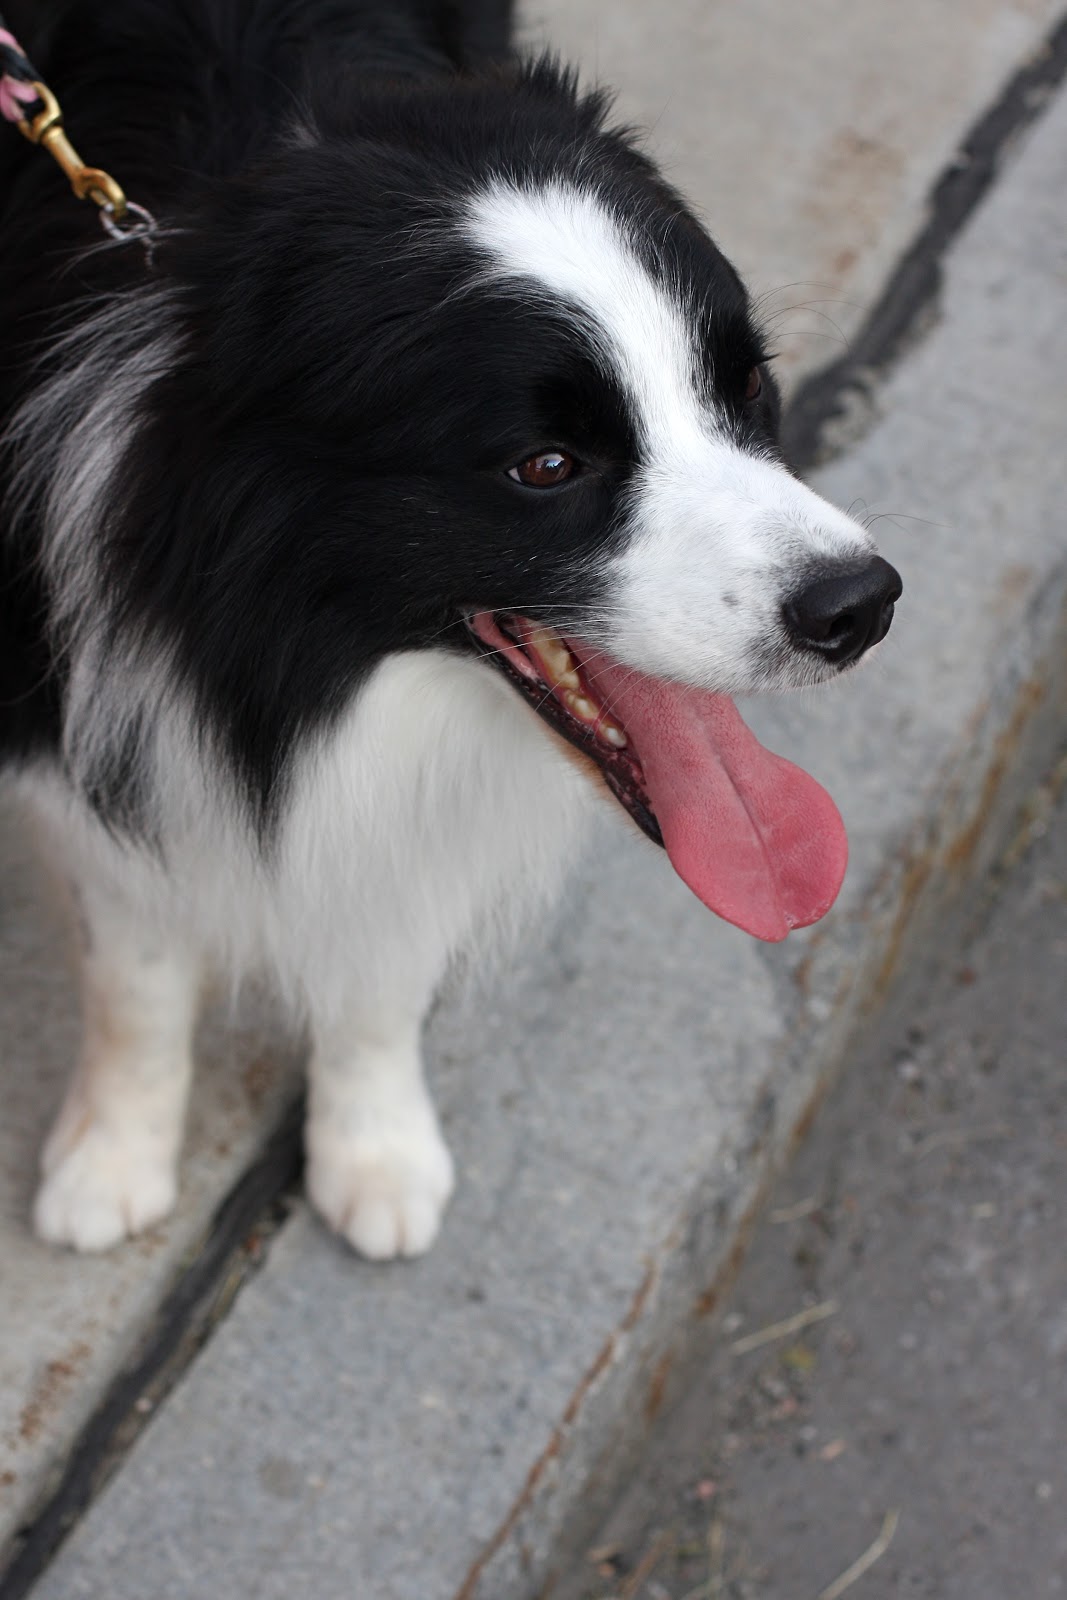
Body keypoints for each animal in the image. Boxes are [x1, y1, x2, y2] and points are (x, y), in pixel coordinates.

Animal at [0, 0, 902, 1260]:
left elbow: (385, 949)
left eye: (744, 387)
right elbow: (134, 966)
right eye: (546, 465)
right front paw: (114, 1156)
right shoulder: (70, 699)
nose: (857, 605)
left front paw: (375, 1149)